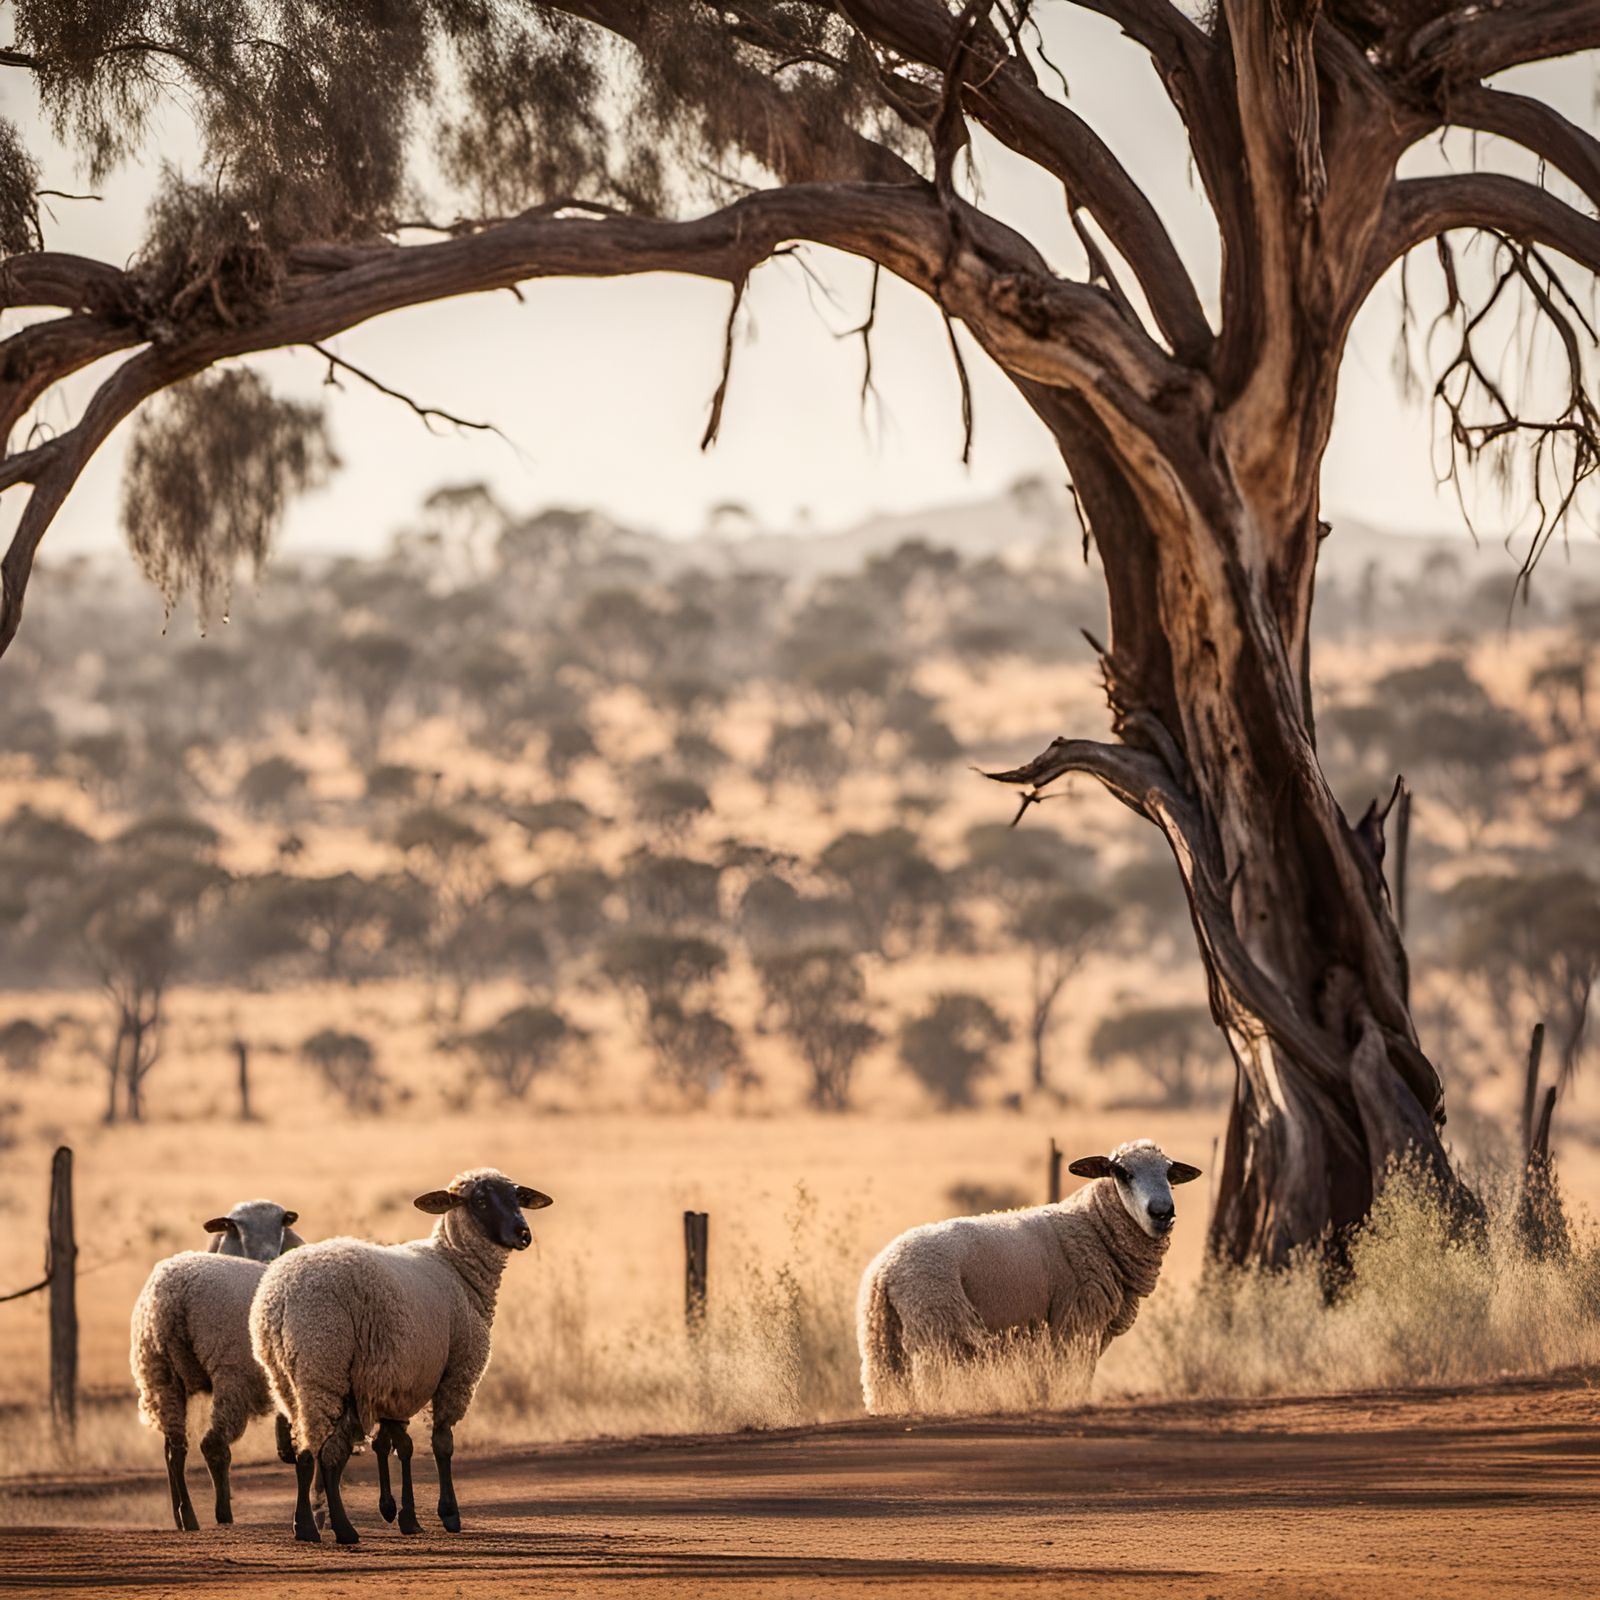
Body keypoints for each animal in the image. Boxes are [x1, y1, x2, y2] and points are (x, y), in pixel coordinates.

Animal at [130, 1200, 303, 1531]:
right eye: (235, 1227)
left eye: (280, 1224)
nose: (270, 1255)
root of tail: (174, 1298)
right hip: (232, 1373)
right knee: (213, 1445)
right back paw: (223, 1513)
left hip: (160, 1373)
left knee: (175, 1448)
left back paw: (185, 1516)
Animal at [250, 1167, 552, 1545]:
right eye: (481, 1201)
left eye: (517, 1197)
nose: (523, 1234)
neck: (457, 1269)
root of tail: (281, 1296)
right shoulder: (454, 1374)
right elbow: (441, 1444)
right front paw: (448, 1513)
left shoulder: (397, 1381)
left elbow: (394, 1445)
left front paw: (400, 1513)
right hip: (323, 1363)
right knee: (319, 1451)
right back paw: (333, 1528)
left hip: (286, 1378)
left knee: (308, 1448)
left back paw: (311, 1525)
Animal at [857, 1139, 1200, 1412]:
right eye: (1123, 1173)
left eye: (1168, 1174)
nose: (1162, 1212)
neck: (1095, 1225)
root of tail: (883, 1269)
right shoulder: (1076, 1323)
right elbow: (1075, 1378)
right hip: (937, 1326)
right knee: (933, 1385)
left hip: (882, 1339)